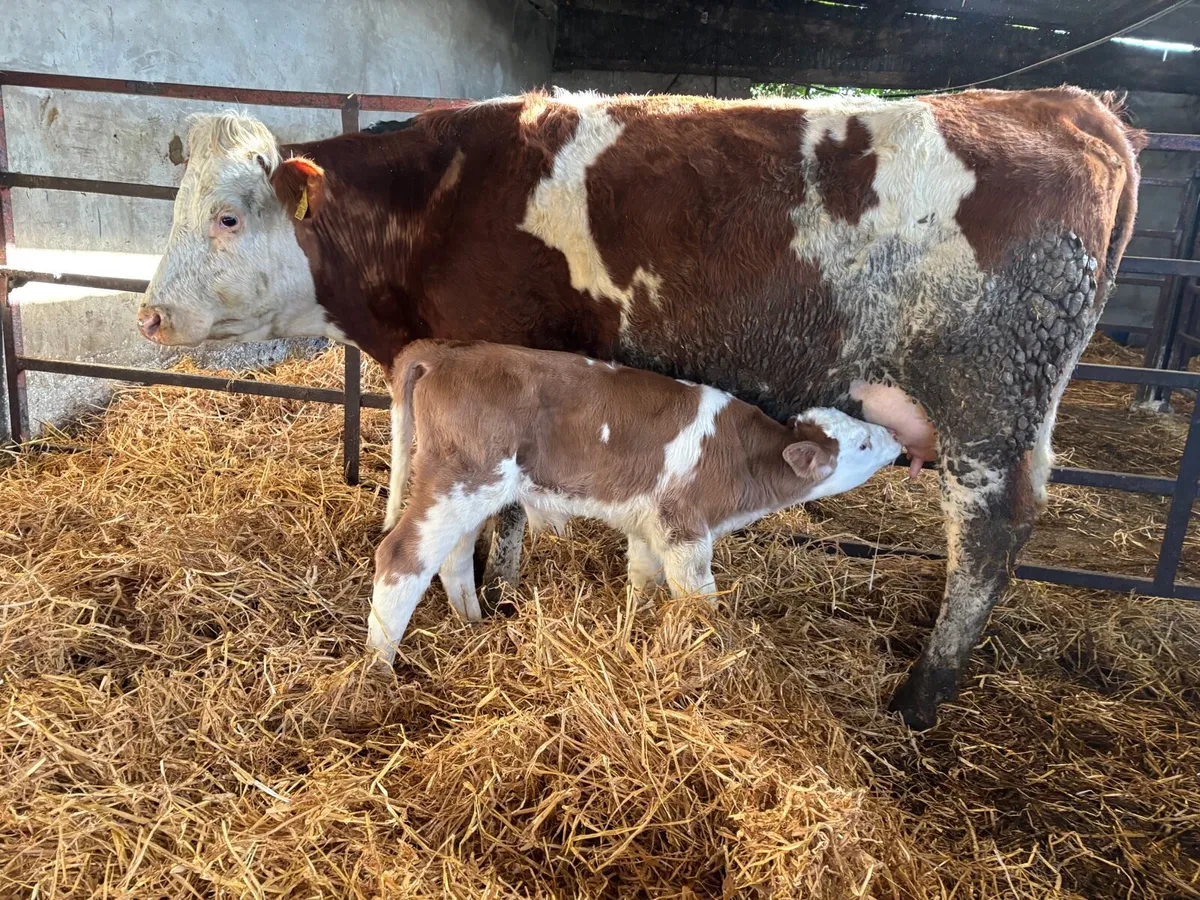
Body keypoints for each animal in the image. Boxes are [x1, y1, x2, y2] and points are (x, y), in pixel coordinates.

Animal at [367, 339, 902, 660]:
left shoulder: (652, 525)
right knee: (401, 557)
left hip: (467, 489)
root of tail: (446, 353)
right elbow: (699, 596)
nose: (896, 437)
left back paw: (471, 623)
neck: (740, 457)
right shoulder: (685, 530)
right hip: (462, 479)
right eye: (862, 445)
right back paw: (379, 668)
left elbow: (644, 580)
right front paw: (710, 646)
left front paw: (637, 629)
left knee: (451, 556)